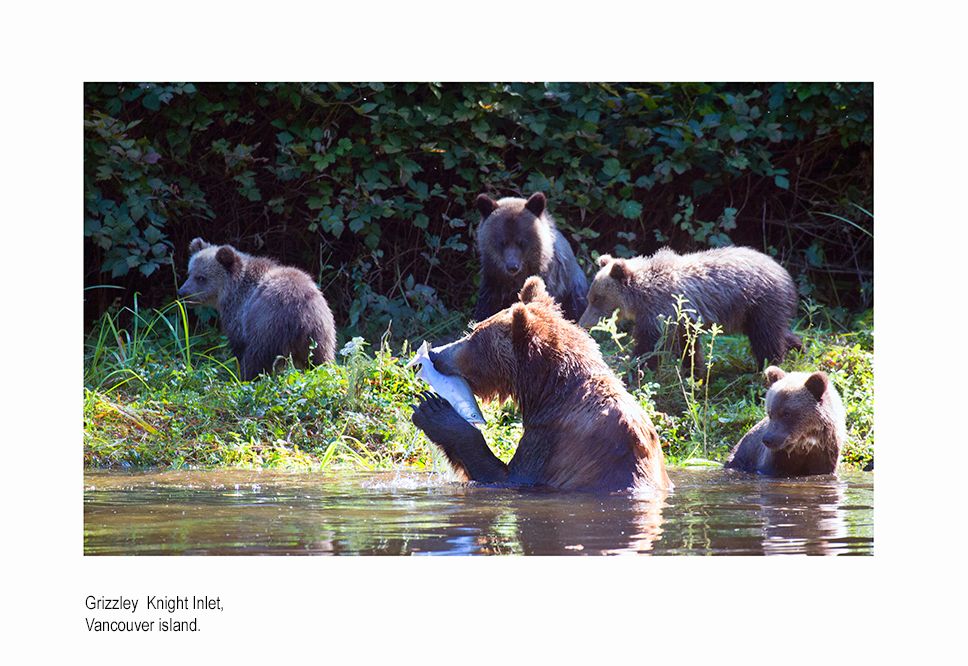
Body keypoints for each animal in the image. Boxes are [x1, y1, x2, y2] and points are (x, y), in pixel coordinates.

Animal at [177, 238, 336, 381]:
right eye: (189, 273)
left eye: (201, 277)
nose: (182, 293)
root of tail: (303, 317)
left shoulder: (239, 313)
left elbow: (238, 345)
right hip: (320, 333)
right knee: (321, 359)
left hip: (268, 325)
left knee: (256, 357)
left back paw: (245, 378)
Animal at [410, 275, 670, 493]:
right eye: (473, 330)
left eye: (474, 337)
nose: (436, 353)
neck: (548, 390)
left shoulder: (552, 439)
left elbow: (504, 475)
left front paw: (433, 410)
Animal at [474, 191, 589, 323]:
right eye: (502, 242)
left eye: (521, 242)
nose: (512, 266)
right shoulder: (493, 276)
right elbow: (487, 305)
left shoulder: (547, 279)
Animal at [578, 247, 802, 370]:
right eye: (590, 297)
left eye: (597, 299)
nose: (582, 323)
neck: (640, 297)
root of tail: (784, 271)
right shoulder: (680, 319)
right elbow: (688, 347)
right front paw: (693, 371)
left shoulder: (659, 311)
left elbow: (649, 345)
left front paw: (636, 369)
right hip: (748, 312)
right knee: (775, 331)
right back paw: (798, 346)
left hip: (760, 301)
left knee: (766, 336)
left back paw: (769, 364)